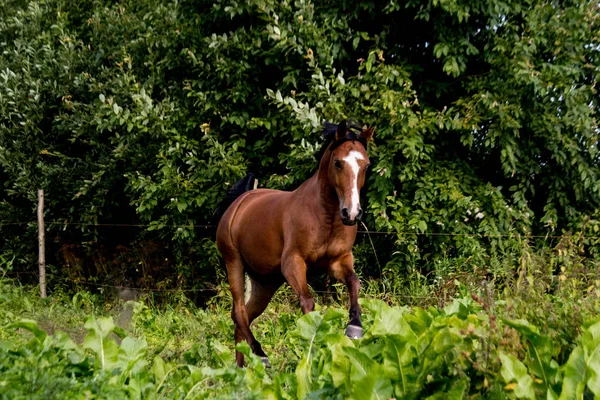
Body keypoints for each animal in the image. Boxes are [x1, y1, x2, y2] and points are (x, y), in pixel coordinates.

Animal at [216, 120, 376, 368]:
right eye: (338, 163)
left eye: (366, 165)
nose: (351, 213)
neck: (325, 215)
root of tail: (240, 202)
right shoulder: (293, 263)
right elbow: (308, 302)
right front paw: (313, 344)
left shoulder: (339, 261)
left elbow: (354, 282)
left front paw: (354, 328)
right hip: (234, 262)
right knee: (239, 312)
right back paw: (261, 355)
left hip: (265, 282)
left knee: (242, 317)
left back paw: (241, 368)